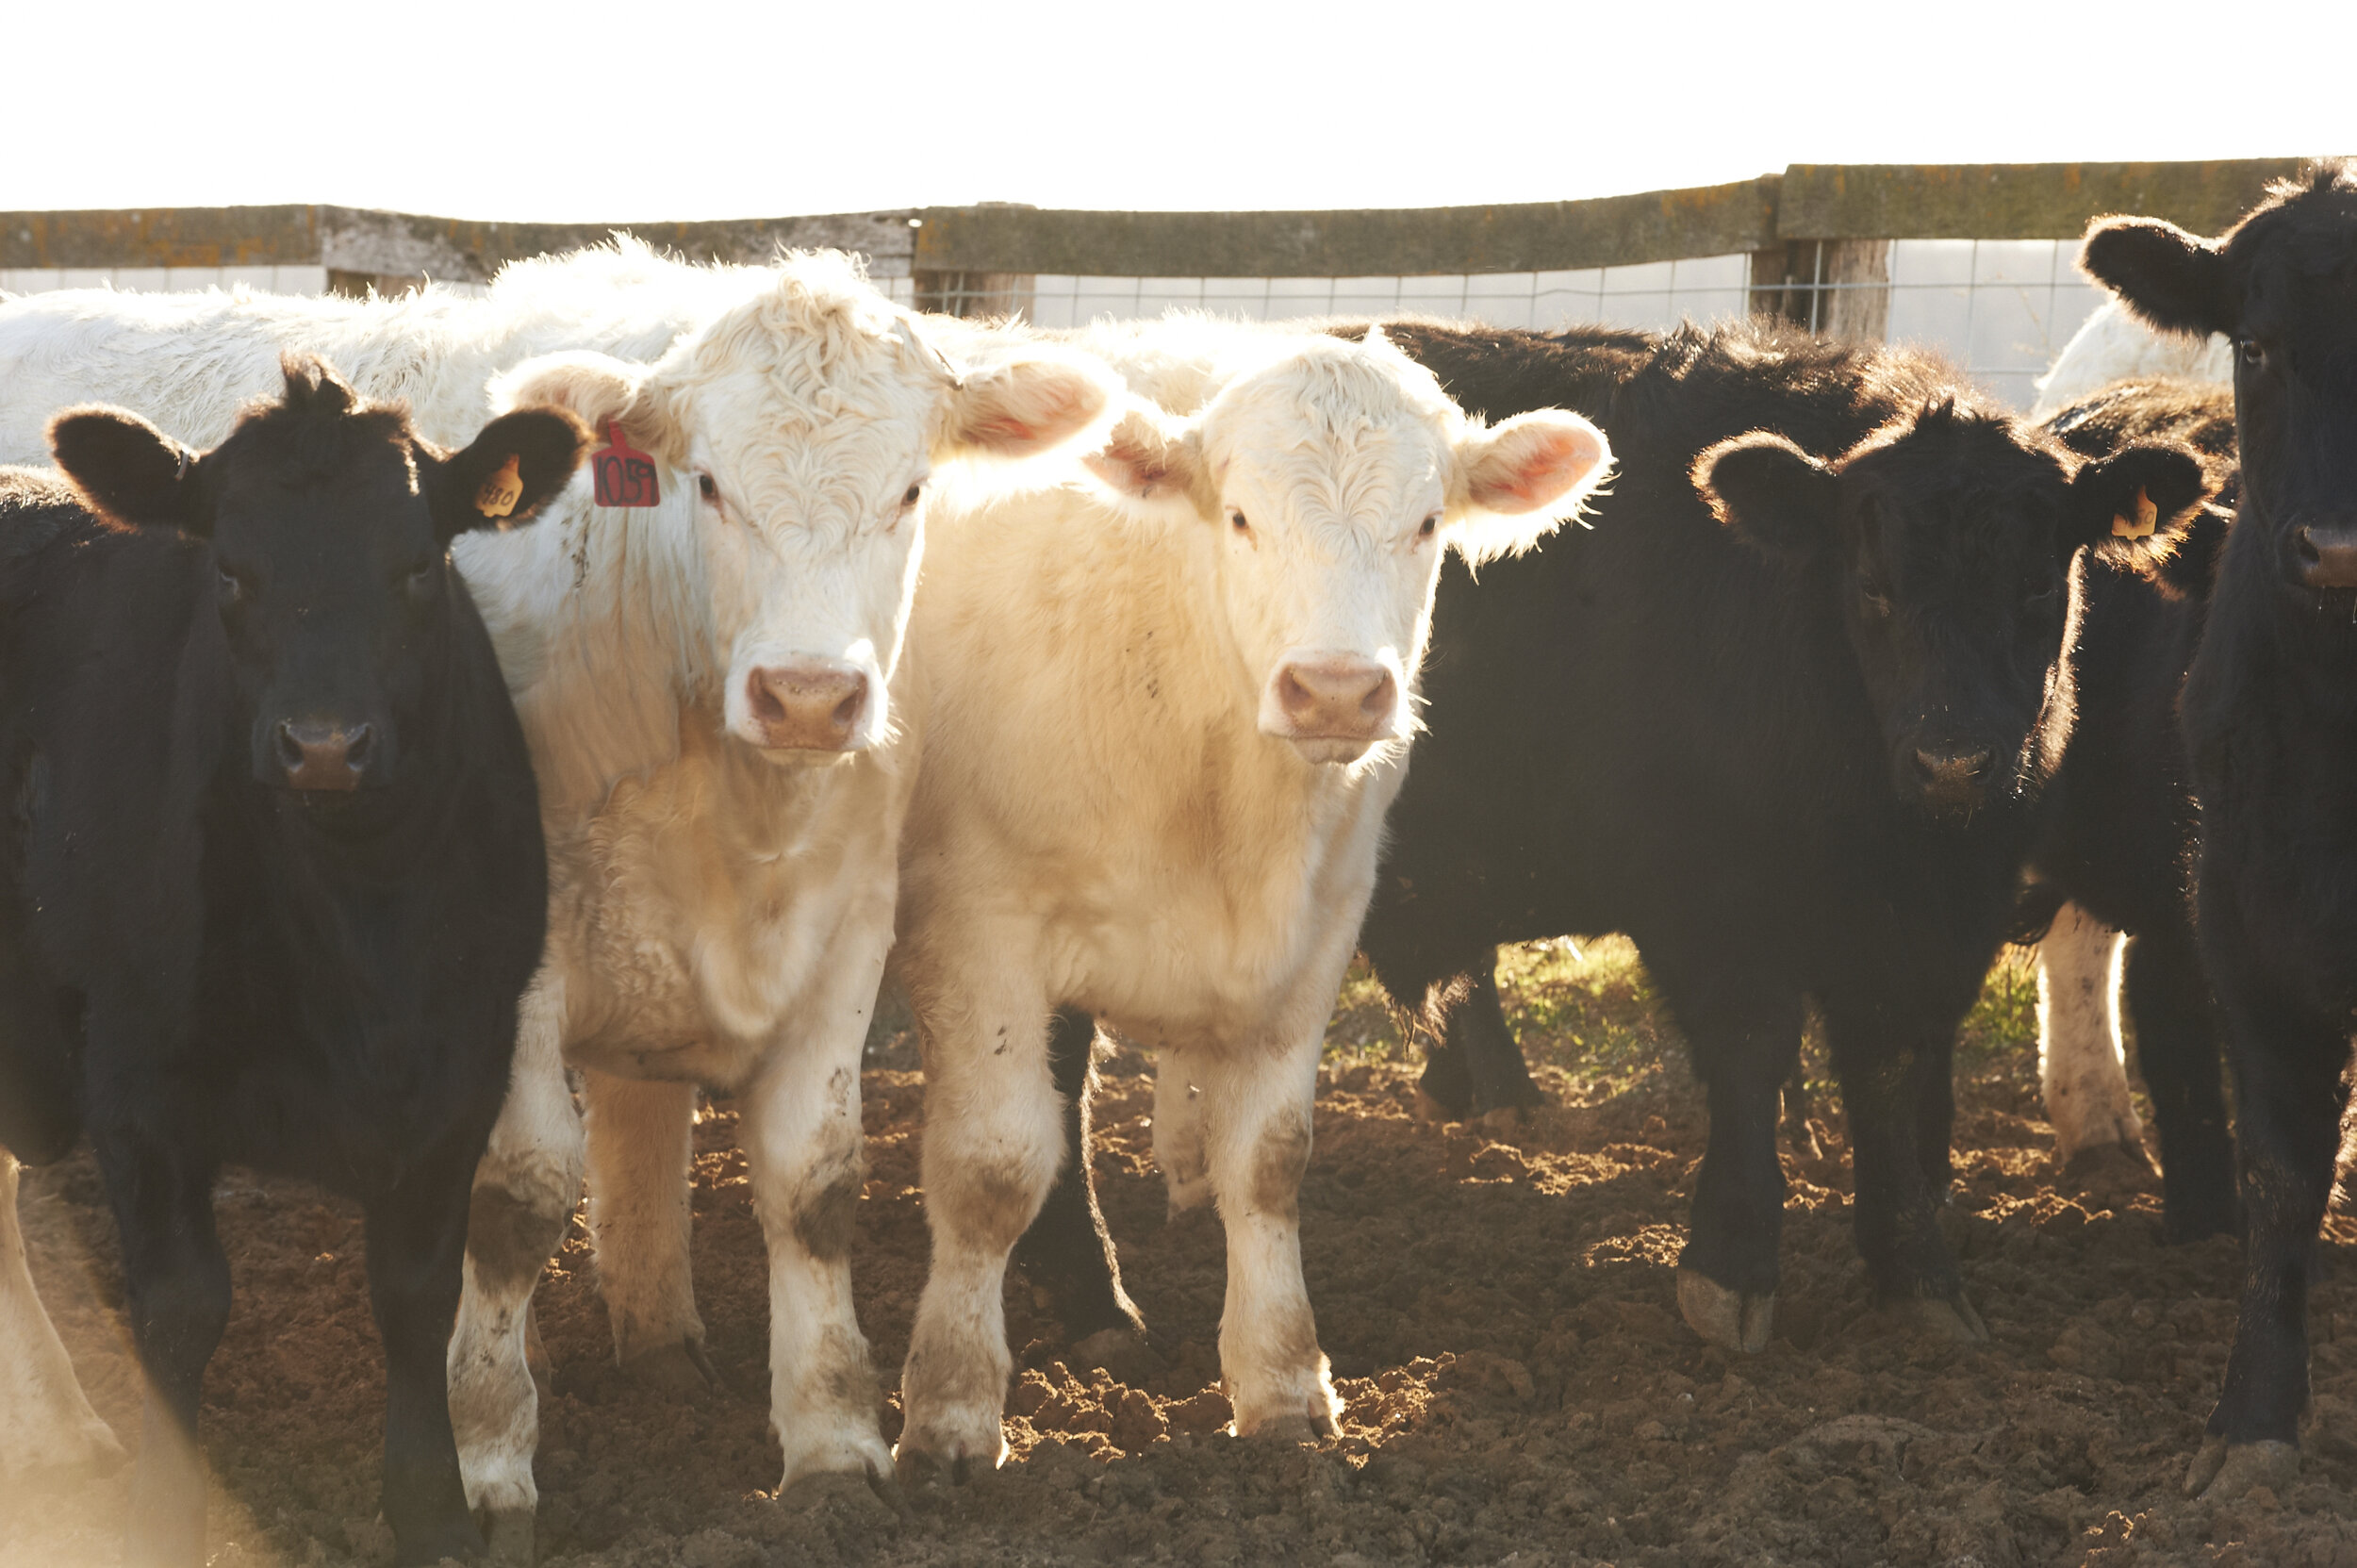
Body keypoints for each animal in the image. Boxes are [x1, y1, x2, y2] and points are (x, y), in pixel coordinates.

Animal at [0, 357, 587, 1566]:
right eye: (230, 568)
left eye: (417, 565)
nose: (323, 745)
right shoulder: (135, 1079)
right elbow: (182, 1305)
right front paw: (162, 1519)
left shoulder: (461, 1071)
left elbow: (414, 1294)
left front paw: (433, 1510)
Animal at [885, 318, 1610, 1478]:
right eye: (1238, 515)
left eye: (1425, 522)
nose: (1336, 691)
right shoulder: (977, 927)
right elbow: (990, 1167)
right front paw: (951, 1412)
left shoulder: (1314, 934)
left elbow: (1268, 1164)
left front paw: (1281, 1385)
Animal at [1009, 320, 2209, 1361]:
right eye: (1870, 583)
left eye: (2040, 580)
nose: (1956, 758)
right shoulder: (1709, 898)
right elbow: (1752, 1051)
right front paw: (1732, 1269)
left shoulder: (1926, 921)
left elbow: (1887, 1068)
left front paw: (1916, 1277)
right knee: (1054, 1072)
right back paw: (1088, 1294)